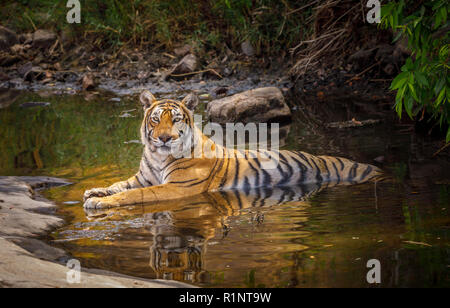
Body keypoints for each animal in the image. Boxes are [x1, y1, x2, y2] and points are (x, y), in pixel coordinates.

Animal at [82, 89, 382, 209]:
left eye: (175, 119)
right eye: (156, 119)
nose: (165, 138)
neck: (158, 157)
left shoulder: (176, 188)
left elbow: (135, 195)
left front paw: (98, 203)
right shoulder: (143, 177)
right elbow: (119, 185)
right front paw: (94, 191)